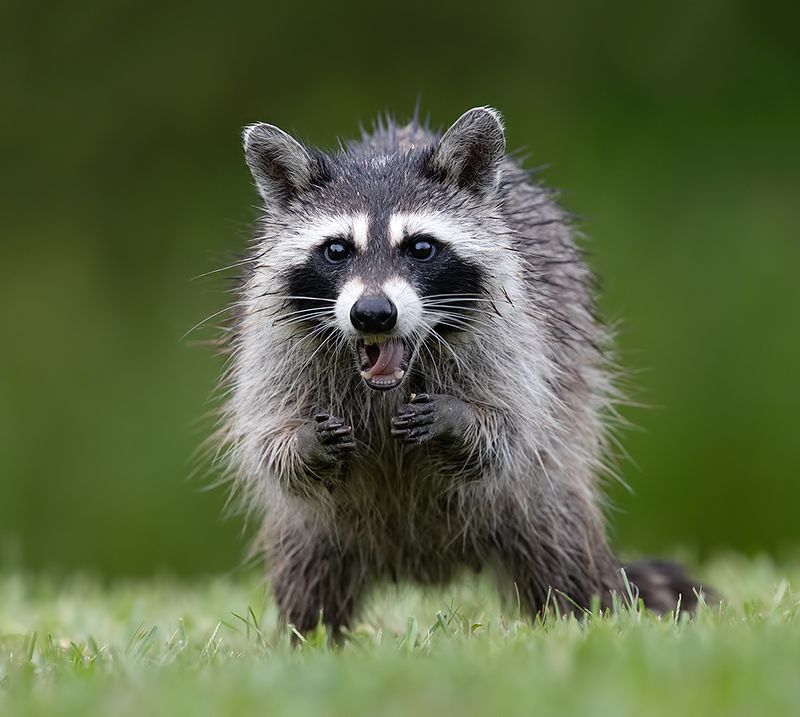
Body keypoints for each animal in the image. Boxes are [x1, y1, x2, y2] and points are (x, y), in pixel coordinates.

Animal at [220, 106, 707, 636]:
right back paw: (308, 636)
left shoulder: (523, 337)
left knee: (559, 542)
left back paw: (582, 617)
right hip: (312, 527)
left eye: (420, 248)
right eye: (336, 250)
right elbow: (270, 442)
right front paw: (305, 440)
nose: (373, 314)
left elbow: (513, 431)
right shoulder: (275, 345)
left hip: (544, 488)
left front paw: (458, 419)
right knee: (308, 568)